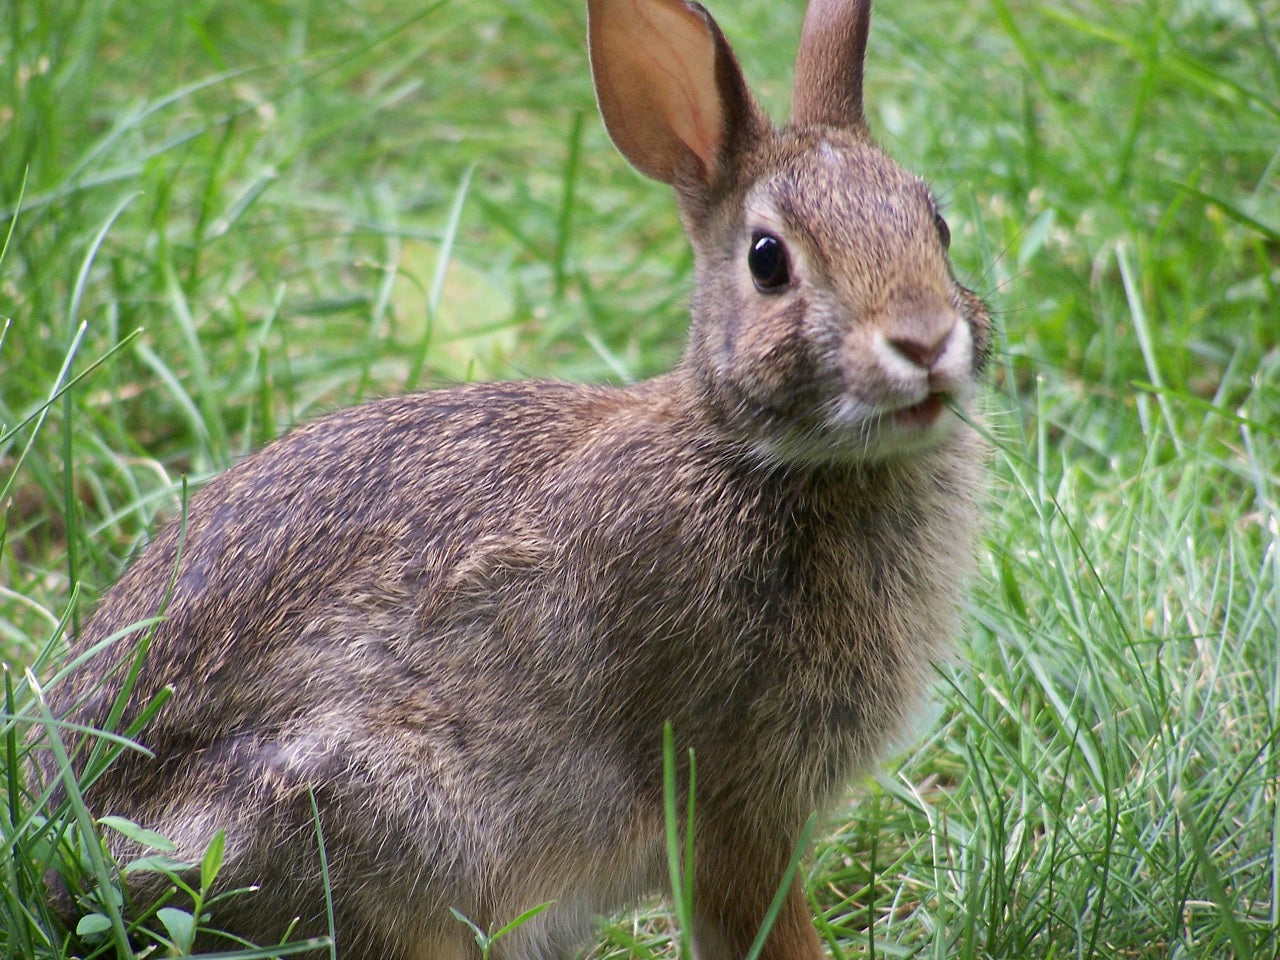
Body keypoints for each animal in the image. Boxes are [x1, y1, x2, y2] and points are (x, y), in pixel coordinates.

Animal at [45, 1, 988, 960]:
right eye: (768, 261)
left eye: (937, 226)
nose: (923, 340)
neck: (751, 453)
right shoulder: (733, 799)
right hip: (383, 816)